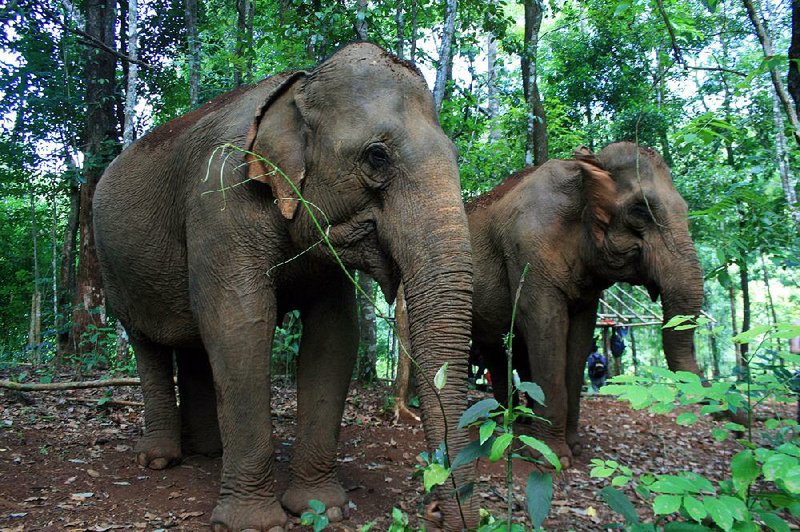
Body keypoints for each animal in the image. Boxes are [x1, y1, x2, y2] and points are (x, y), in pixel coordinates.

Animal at [93, 43, 475, 531]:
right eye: (377, 156)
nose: (434, 511)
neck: (297, 90)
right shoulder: (220, 204)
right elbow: (241, 327)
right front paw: (254, 523)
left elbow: (333, 337)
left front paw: (323, 507)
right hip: (117, 271)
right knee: (148, 345)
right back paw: (160, 460)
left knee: (193, 342)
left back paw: (209, 452)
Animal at [468, 142, 704, 467]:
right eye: (640, 211)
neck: (581, 171)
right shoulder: (527, 251)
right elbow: (546, 327)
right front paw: (550, 458)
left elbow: (580, 338)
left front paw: (574, 447)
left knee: (494, 346)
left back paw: (512, 421)